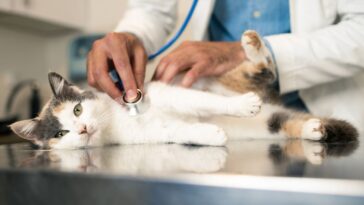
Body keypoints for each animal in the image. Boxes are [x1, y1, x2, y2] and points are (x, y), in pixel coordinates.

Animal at [9, 30, 358, 149]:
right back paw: (314, 129)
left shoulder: (167, 92)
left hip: (226, 78)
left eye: (78, 109)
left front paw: (240, 107)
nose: (82, 128)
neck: (115, 120)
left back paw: (254, 47)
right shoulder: (149, 135)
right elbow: (178, 130)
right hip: (270, 126)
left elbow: (200, 100)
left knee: (264, 71)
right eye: (60, 133)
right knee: (284, 122)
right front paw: (211, 134)